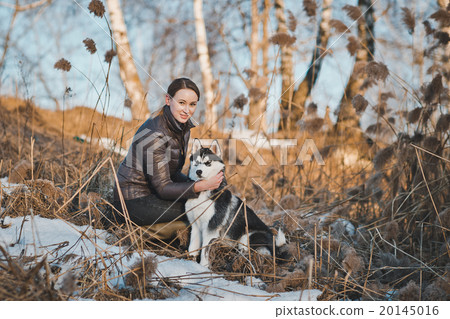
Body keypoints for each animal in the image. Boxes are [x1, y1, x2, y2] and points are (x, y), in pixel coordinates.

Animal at [185, 139, 284, 268]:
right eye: (196, 163)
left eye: (208, 163)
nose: (198, 171)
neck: (203, 193)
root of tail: (274, 243)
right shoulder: (195, 225)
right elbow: (193, 247)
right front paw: (190, 262)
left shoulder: (211, 227)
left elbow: (205, 250)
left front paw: (203, 266)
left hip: (247, 237)